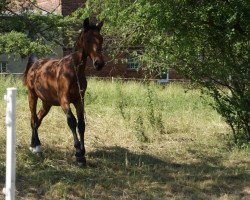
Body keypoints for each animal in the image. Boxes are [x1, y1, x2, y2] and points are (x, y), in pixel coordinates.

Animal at [23, 18, 104, 166]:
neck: (73, 71)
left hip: (47, 103)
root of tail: (36, 64)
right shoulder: (64, 100)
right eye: (88, 40)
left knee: (38, 120)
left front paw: (83, 153)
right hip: (32, 96)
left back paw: (36, 145)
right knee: (33, 119)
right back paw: (35, 147)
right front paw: (78, 153)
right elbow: (72, 121)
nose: (99, 63)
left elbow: (81, 124)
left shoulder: (79, 100)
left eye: (101, 39)